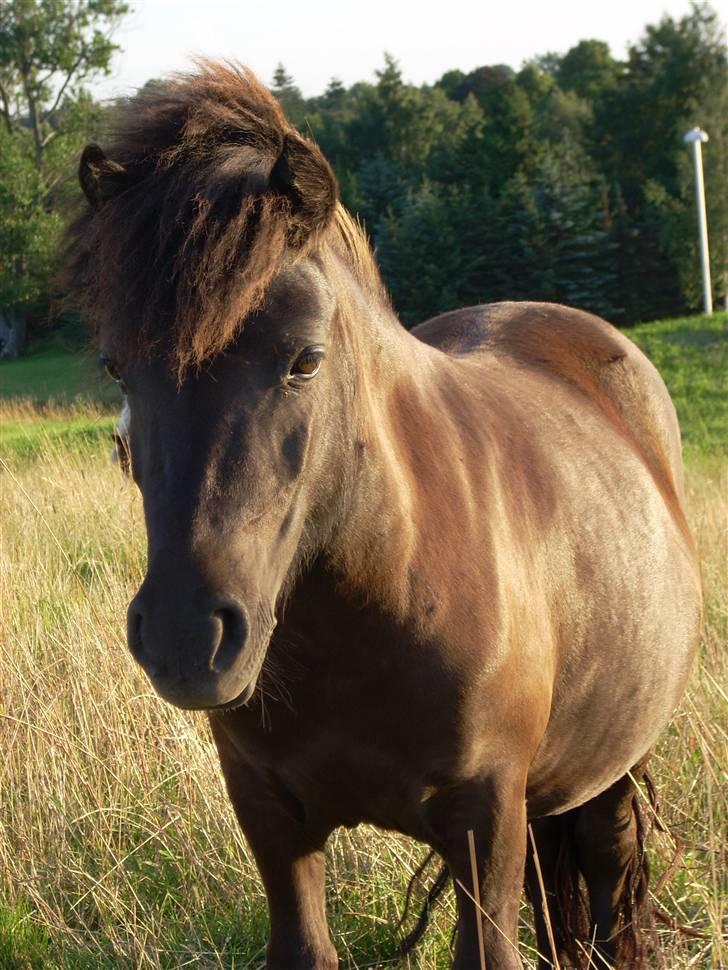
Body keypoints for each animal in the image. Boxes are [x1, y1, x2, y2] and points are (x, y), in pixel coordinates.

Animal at [65, 64, 704, 964]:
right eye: (117, 366)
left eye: (305, 359)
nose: (187, 640)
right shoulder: (270, 817)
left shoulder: (485, 823)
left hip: (611, 764)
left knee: (609, 880)